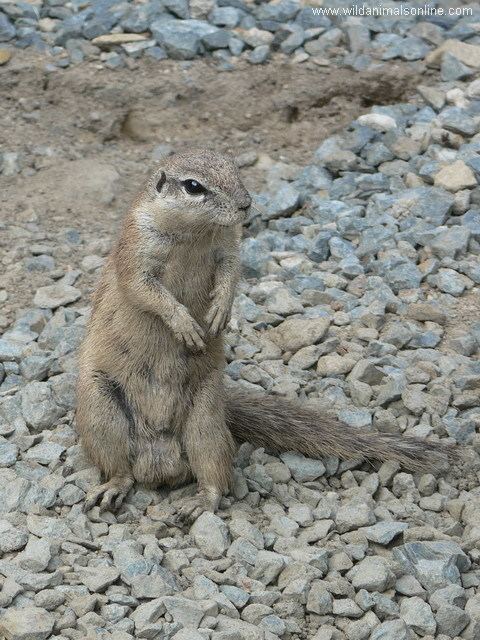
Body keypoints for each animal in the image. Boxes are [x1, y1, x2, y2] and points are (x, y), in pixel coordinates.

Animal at [77, 148, 456, 516]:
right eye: (193, 186)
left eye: (235, 169)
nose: (246, 203)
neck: (194, 235)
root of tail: (158, 464)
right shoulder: (135, 248)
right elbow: (144, 289)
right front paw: (185, 323)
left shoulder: (229, 246)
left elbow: (232, 272)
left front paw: (221, 310)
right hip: (99, 410)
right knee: (120, 468)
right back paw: (113, 488)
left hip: (205, 417)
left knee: (214, 471)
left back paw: (201, 501)